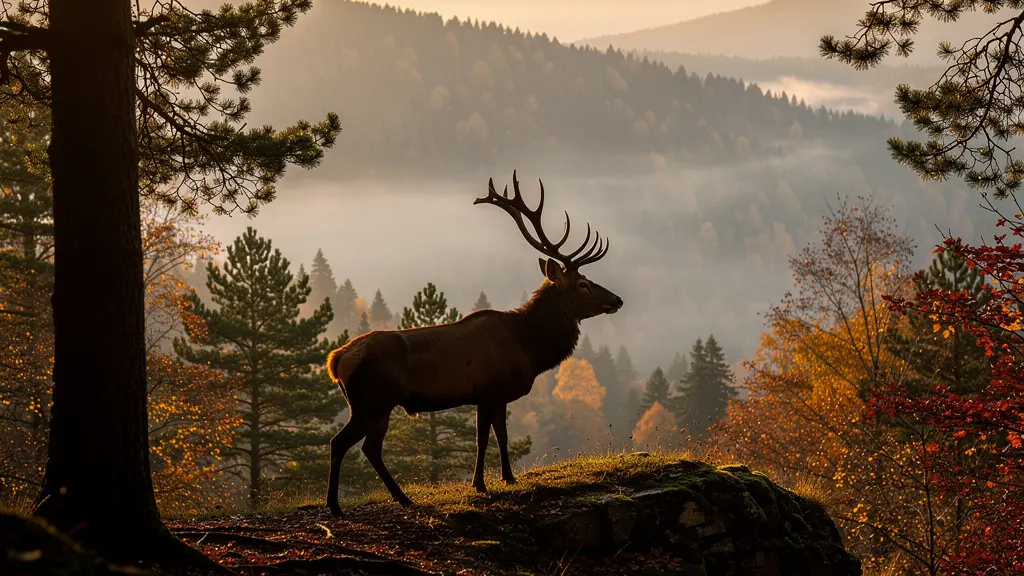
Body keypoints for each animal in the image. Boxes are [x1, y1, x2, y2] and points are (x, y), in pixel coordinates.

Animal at [324, 170, 623, 515]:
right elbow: (483, 439)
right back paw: (362, 502)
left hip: (366, 405)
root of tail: (336, 360)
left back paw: (366, 500)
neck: (529, 346)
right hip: (373, 402)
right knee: (354, 445)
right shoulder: (489, 390)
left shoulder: (500, 395)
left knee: (355, 446)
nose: (617, 300)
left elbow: (502, 436)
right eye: (583, 284)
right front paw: (479, 484)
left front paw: (509, 478)